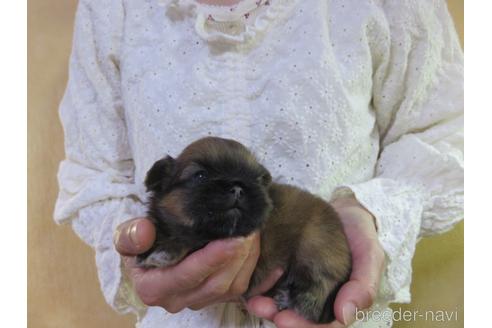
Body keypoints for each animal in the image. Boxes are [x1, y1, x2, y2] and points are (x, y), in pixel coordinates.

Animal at [136, 136, 352, 322]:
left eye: (255, 179)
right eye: (200, 175)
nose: (238, 187)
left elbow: (191, 242)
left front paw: (166, 251)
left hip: (313, 246)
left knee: (321, 288)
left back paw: (291, 300)